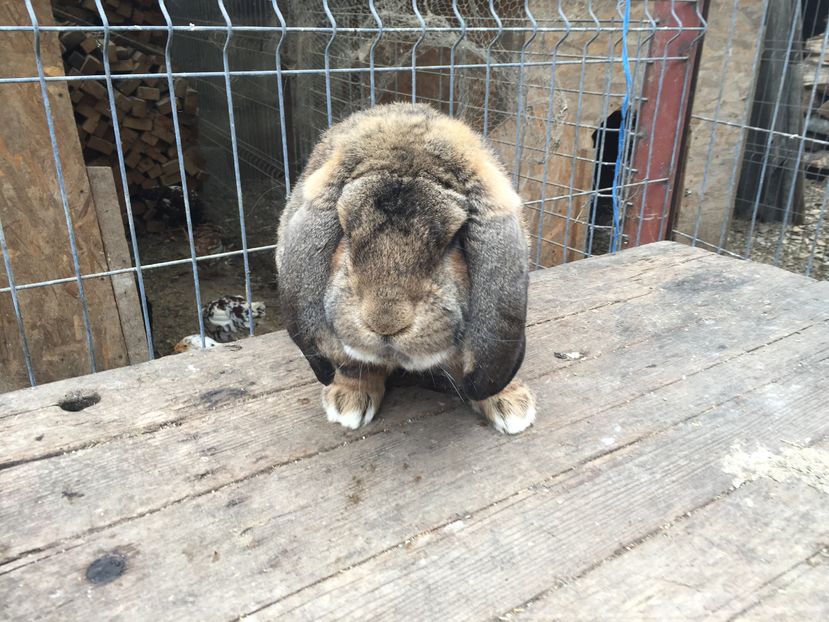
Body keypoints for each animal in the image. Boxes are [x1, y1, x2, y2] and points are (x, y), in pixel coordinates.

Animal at [276, 103, 536, 434]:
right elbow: (353, 364)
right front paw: (347, 403)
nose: (385, 322)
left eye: (453, 239)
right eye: (346, 231)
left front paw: (512, 405)